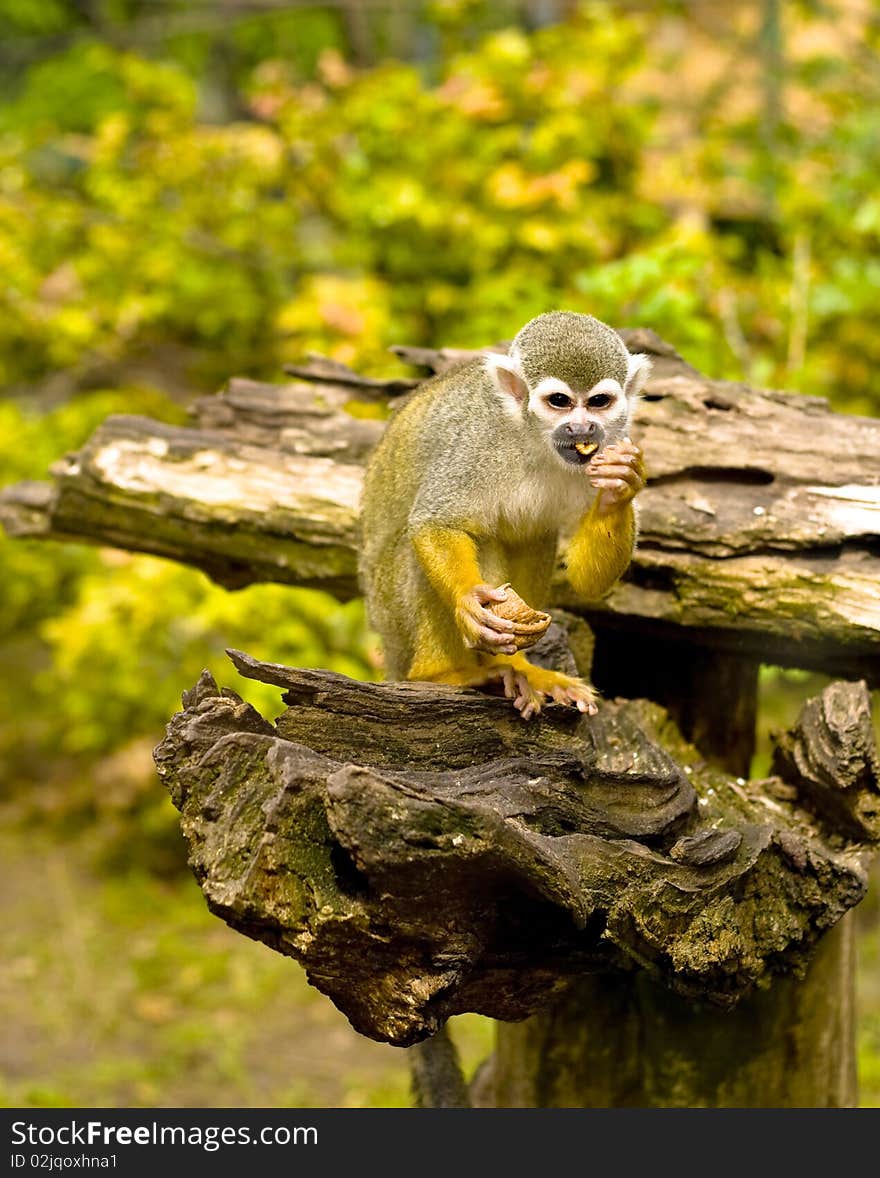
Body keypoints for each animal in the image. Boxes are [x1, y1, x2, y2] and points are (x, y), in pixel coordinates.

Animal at [360, 313, 654, 716]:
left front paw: (620, 486)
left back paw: (520, 667)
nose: (581, 428)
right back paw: (441, 674)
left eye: (599, 402)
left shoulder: (612, 441)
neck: (533, 440)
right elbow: (435, 522)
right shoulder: (477, 442)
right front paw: (469, 599)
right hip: (390, 614)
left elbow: (586, 581)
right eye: (559, 402)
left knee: (535, 535)